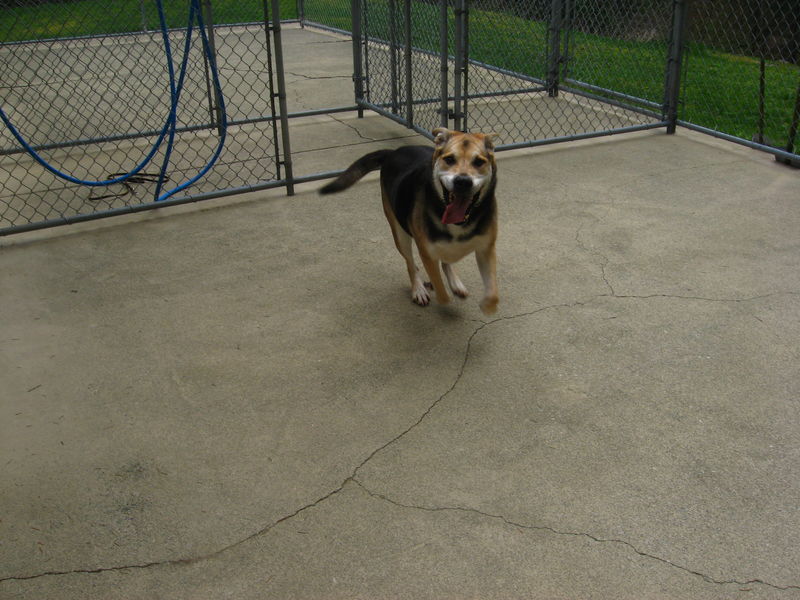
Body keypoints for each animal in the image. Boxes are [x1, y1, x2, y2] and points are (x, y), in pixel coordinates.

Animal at [320, 126, 496, 314]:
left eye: (479, 162)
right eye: (449, 160)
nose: (462, 182)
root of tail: (393, 152)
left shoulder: (485, 246)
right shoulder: (426, 249)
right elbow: (435, 280)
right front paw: (435, 291)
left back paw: (454, 283)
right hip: (400, 233)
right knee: (410, 263)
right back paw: (418, 288)